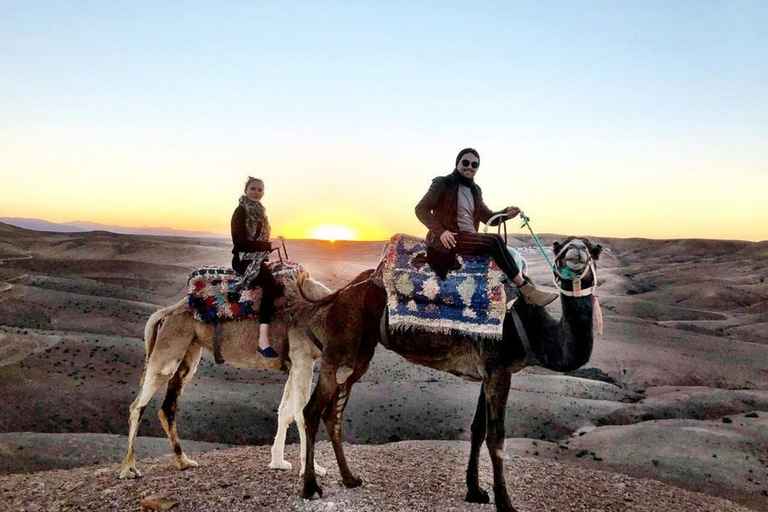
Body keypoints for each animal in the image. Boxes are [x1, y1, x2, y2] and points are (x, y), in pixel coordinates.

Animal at [121, 268, 332, 480]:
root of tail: (167, 312)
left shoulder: (296, 363)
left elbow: (285, 412)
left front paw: (278, 462)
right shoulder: (303, 358)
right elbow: (302, 412)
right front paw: (313, 469)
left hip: (188, 351)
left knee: (167, 407)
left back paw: (183, 461)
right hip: (169, 350)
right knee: (137, 405)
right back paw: (129, 468)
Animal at [296, 237, 604, 512]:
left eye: (591, 248)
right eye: (561, 247)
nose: (576, 250)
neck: (536, 330)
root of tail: (342, 291)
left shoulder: (488, 372)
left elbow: (478, 429)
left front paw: (476, 491)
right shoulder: (499, 369)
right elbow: (496, 437)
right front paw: (506, 504)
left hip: (358, 355)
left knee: (332, 413)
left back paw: (350, 478)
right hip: (340, 348)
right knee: (312, 410)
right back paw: (310, 487)